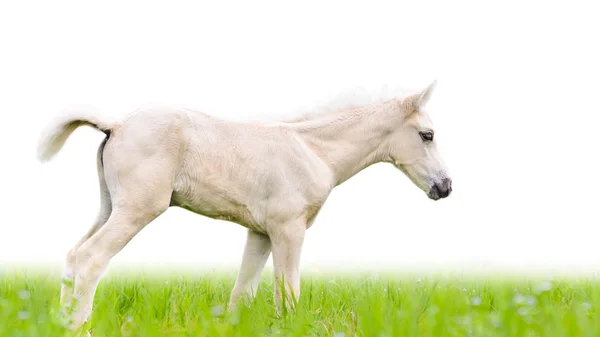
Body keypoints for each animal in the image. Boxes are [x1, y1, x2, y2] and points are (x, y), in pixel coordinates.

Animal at [37, 81, 450, 328]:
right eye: (427, 135)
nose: (445, 187)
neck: (313, 151)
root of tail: (116, 125)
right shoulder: (288, 230)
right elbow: (288, 293)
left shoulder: (260, 233)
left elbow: (242, 293)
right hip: (138, 210)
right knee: (92, 258)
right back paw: (79, 327)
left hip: (110, 206)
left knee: (73, 256)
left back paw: (61, 323)